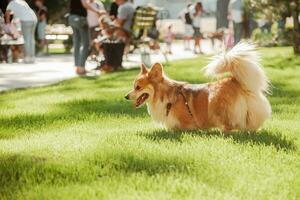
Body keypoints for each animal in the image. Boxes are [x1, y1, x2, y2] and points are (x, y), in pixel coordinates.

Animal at [124, 43, 272, 131]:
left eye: (138, 87)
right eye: (134, 86)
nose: (125, 96)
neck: (165, 95)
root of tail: (234, 80)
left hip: (215, 102)